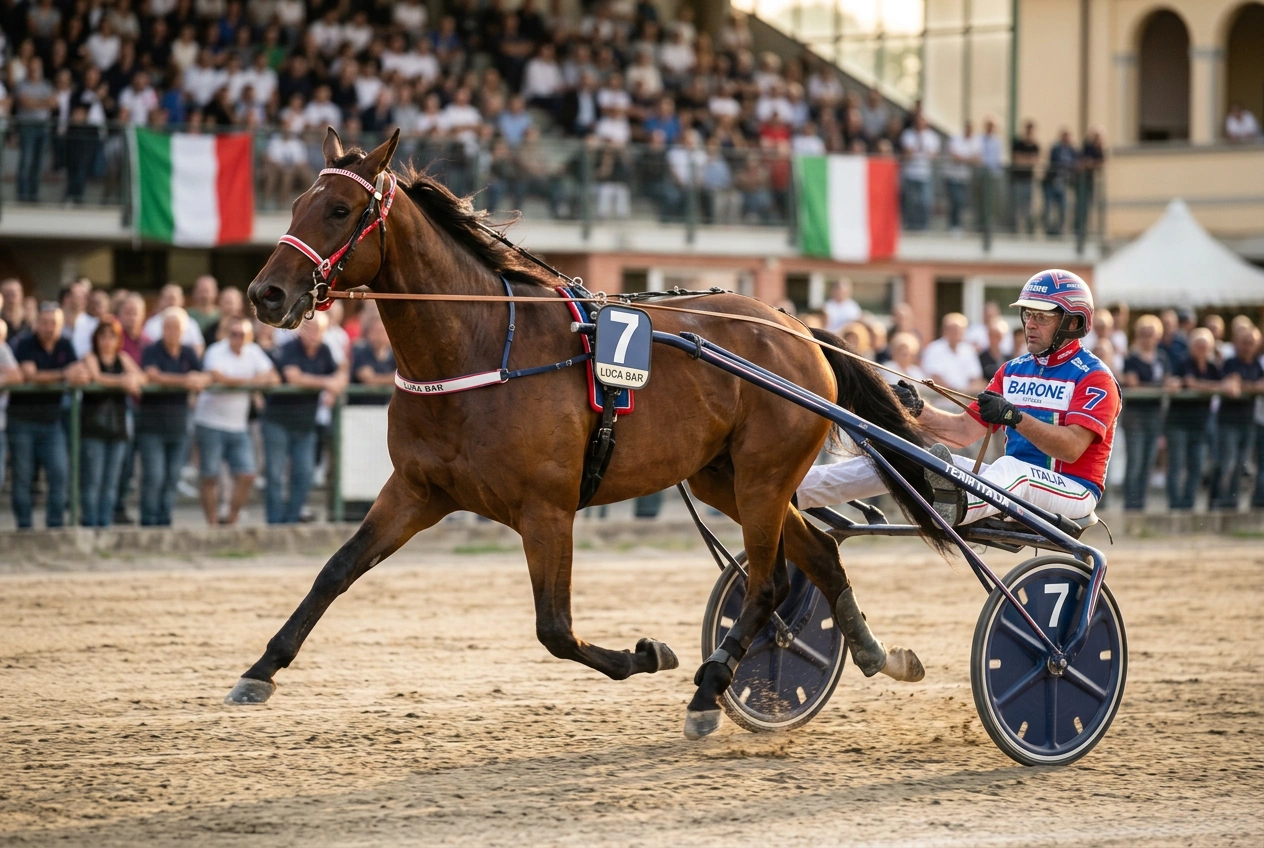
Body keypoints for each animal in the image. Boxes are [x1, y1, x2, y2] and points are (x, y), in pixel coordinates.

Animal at [232, 128, 943, 740]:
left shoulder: (547, 509)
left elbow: (555, 629)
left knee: (769, 583)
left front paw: (648, 653)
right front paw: (259, 671)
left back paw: (710, 689)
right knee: (818, 555)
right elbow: (335, 571)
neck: (481, 346)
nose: (266, 294)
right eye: (295, 204)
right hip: (724, 478)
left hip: (765, 476)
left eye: (341, 209)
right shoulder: (415, 490)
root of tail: (796, 327)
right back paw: (878, 654)